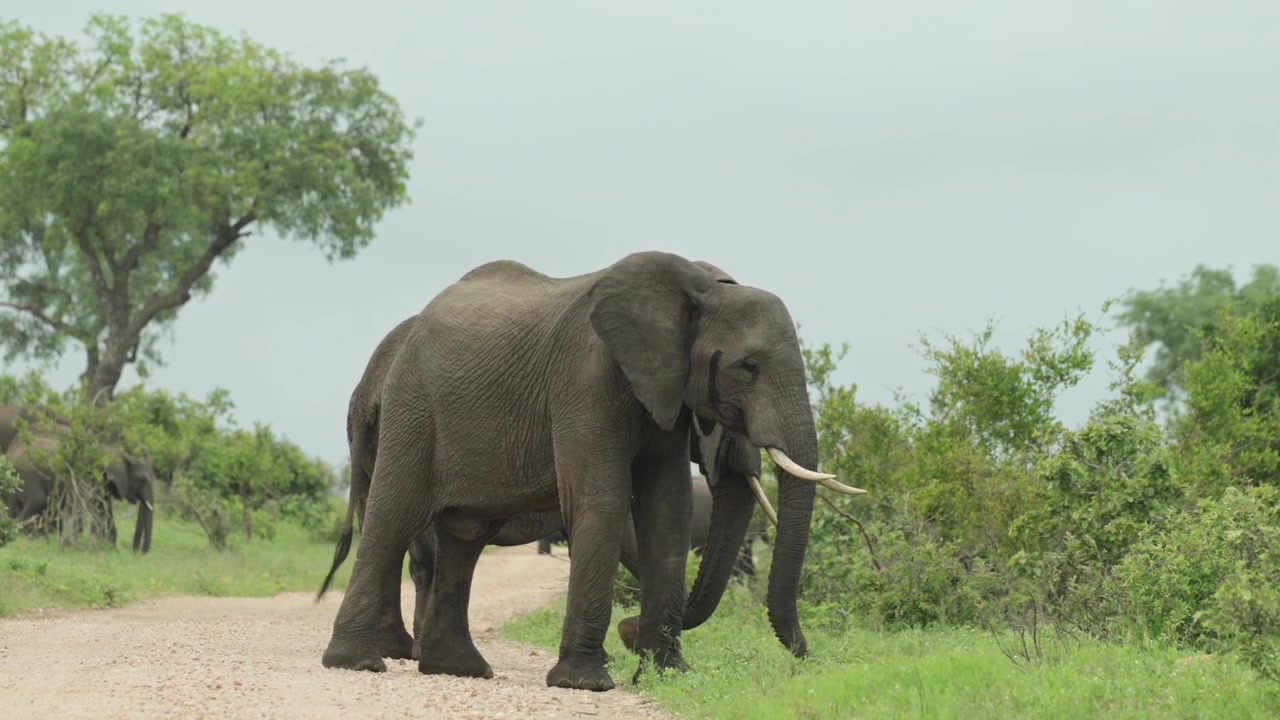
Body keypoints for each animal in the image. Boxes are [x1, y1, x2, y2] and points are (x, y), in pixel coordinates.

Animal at [1, 404, 156, 553]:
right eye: (142, 480)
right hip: (26, 473)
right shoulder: (88, 475)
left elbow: (103, 509)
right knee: (37, 500)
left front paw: (108, 547)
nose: (136, 551)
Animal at [320, 251, 865, 691]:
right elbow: (604, 505)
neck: (695, 286)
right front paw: (587, 683)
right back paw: (360, 662)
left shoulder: (663, 393)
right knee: (396, 516)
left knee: (463, 536)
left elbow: (666, 511)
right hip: (415, 409)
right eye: (748, 367)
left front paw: (670, 675)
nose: (807, 658)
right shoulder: (587, 379)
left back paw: (460, 670)